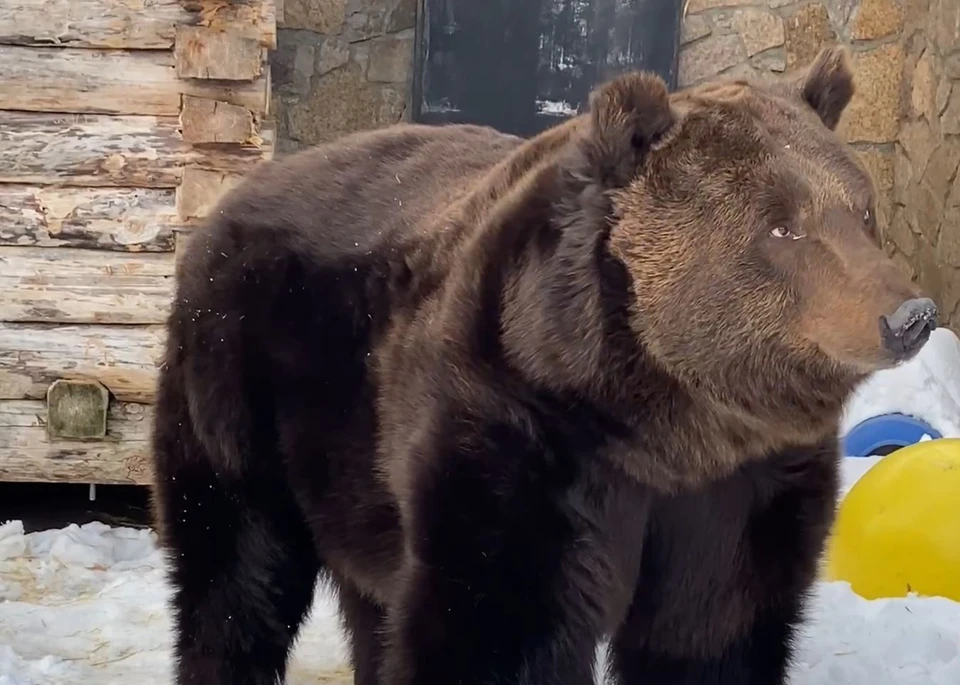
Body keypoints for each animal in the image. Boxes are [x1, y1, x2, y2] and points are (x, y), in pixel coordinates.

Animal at [152, 46, 936, 684]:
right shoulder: (519, 431)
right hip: (242, 378)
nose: (910, 314)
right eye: (781, 225)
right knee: (236, 569)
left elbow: (712, 633)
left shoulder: (738, 491)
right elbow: (497, 626)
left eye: (861, 210)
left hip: (349, 458)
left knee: (367, 596)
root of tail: (229, 202)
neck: (662, 422)